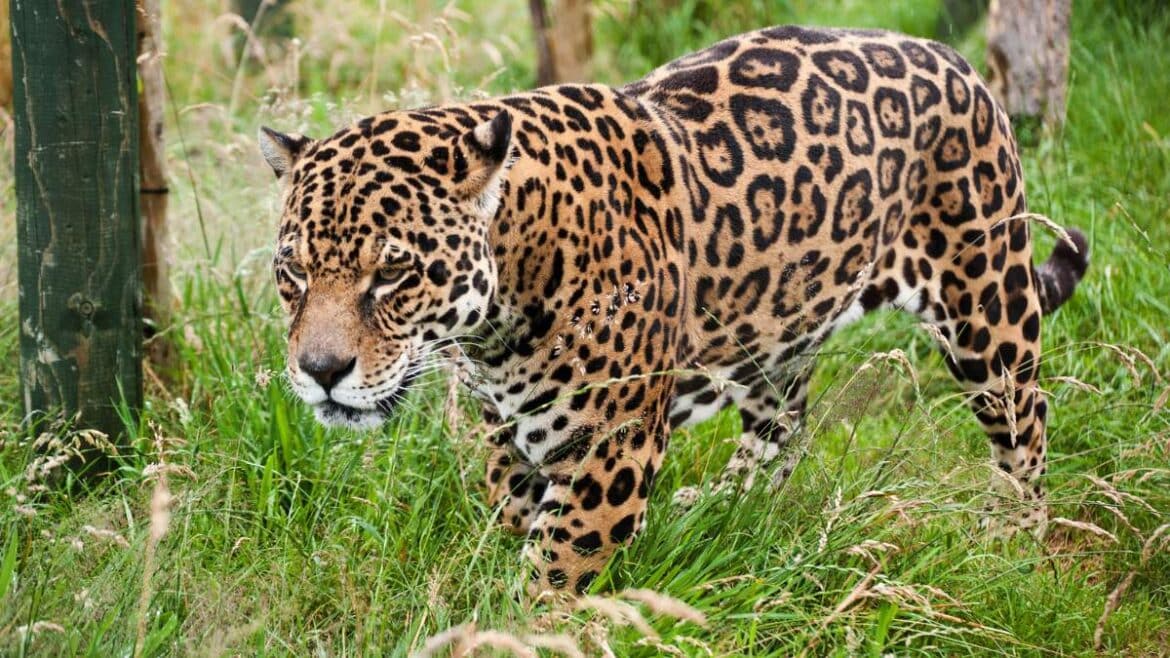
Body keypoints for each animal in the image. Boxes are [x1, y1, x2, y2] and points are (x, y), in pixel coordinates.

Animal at [259, 25, 1088, 598]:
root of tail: (954, 59)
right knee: (783, 430)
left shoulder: (610, 447)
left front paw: (510, 626)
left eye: (393, 273)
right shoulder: (504, 431)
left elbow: (552, 569)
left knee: (1027, 419)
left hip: (985, 305)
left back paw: (1018, 538)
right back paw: (719, 505)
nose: (321, 372)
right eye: (293, 272)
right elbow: (511, 519)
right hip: (773, 330)